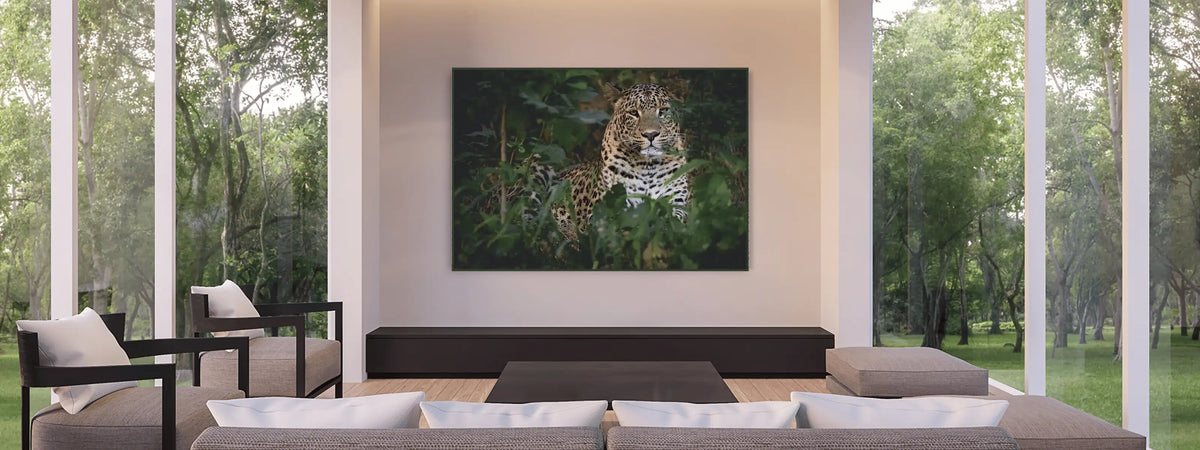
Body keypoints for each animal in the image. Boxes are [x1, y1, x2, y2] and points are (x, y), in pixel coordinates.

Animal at [537, 83, 690, 240]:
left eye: (663, 111)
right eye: (634, 113)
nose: (650, 134)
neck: (648, 164)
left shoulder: (676, 200)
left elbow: (674, 219)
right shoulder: (602, 210)